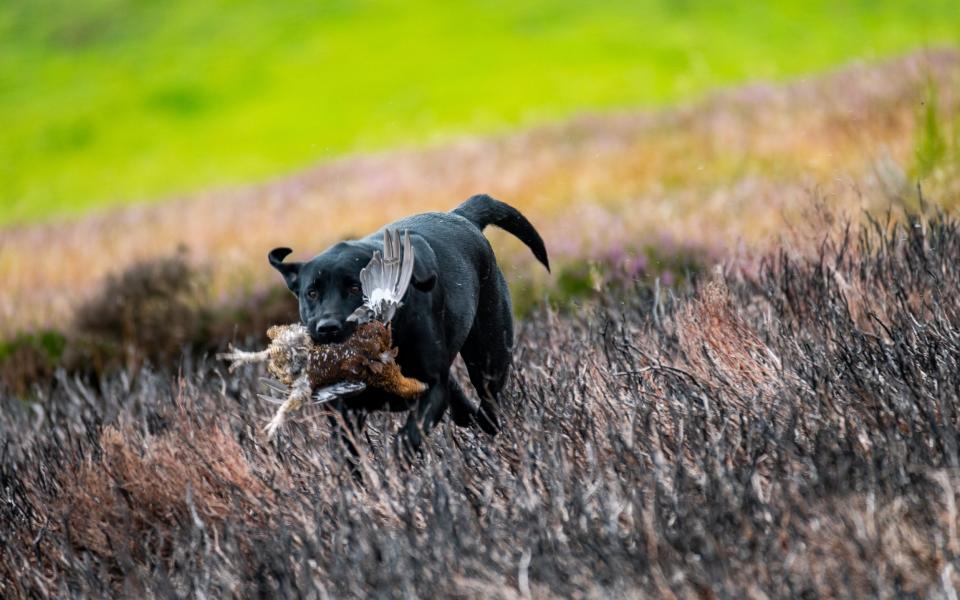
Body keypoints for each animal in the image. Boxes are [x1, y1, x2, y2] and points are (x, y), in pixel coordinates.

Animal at [268, 196, 548, 454]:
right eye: (312, 293)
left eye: (356, 287)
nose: (327, 328)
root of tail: (461, 215)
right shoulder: (343, 411)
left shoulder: (432, 389)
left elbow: (407, 437)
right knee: (463, 403)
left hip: (489, 355)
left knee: (488, 400)